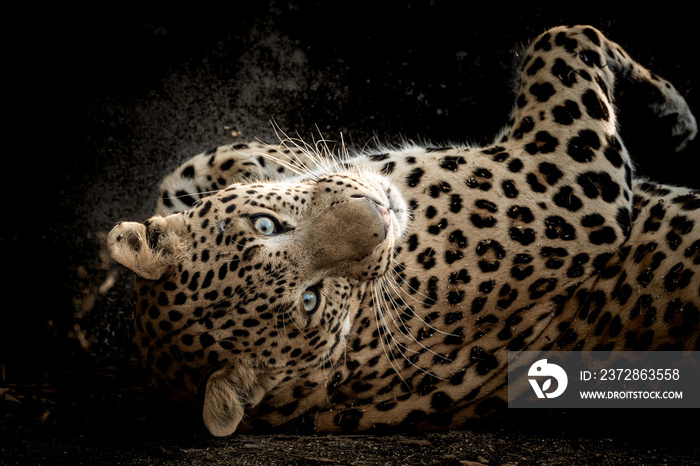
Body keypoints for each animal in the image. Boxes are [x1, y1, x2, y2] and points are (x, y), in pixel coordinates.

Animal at [108, 26, 700, 436]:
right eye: (311, 300)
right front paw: (672, 106)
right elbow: (566, 36)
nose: (380, 212)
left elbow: (191, 169)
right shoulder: (565, 185)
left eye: (266, 224)